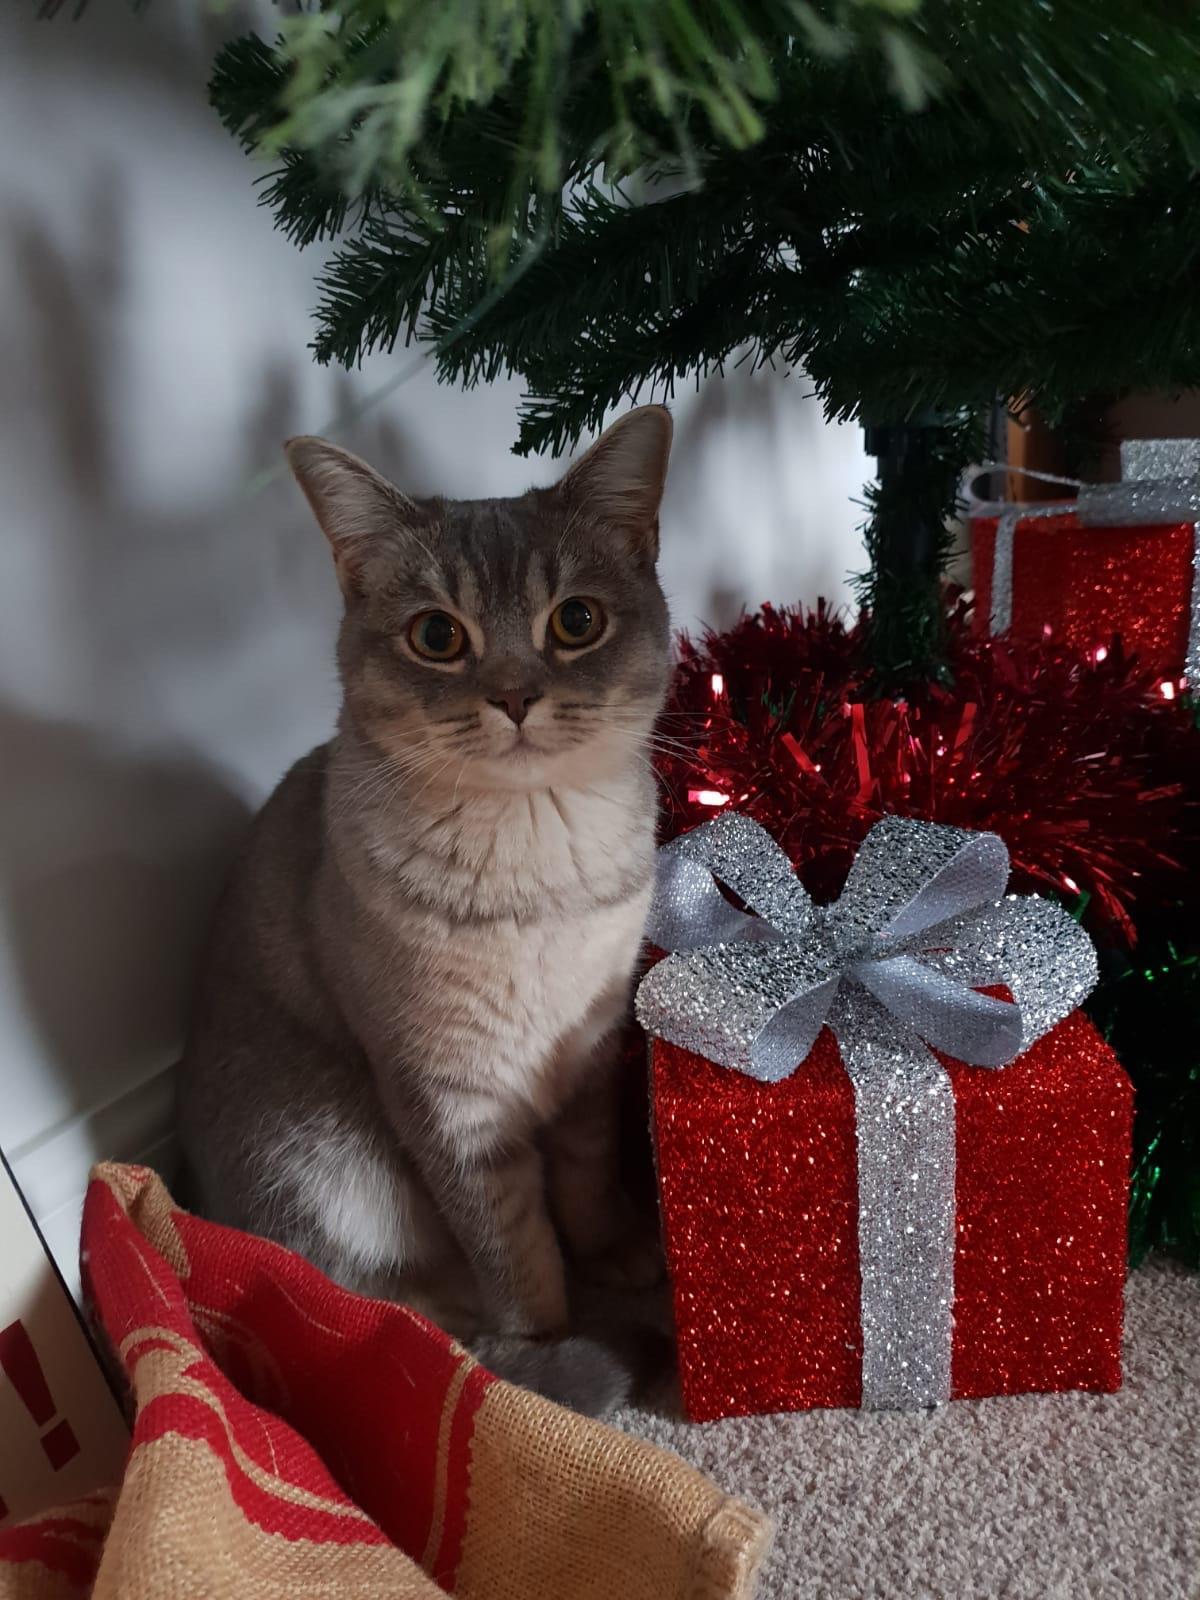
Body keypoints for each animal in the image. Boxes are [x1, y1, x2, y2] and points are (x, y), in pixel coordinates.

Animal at [178, 403, 678, 1414]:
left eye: (577, 621)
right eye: (438, 637)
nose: (516, 695)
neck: (540, 868)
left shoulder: (590, 1050)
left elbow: (588, 1179)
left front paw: (615, 1252)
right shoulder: (449, 1100)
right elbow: (517, 1251)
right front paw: (546, 1349)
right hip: (325, 1160)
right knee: (406, 1312)